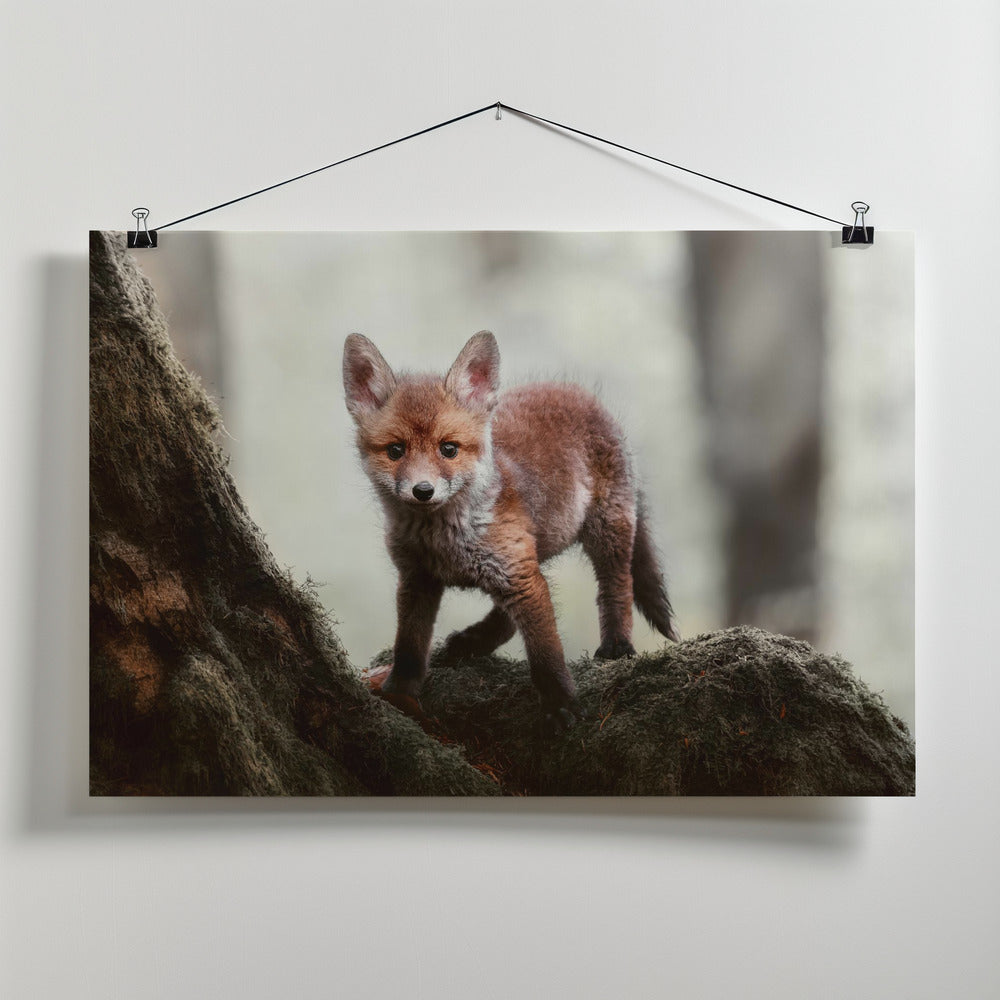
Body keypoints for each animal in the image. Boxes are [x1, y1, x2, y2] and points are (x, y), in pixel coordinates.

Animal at [342, 330, 679, 731]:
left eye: (448, 448)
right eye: (395, 450)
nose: (423, 491)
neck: (445, 542)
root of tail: (577, 392)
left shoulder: (519, 578)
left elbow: (546, 650)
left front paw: (560, 703)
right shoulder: (418, 579)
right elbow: (409, 646)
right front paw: (398, 693)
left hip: (605, 530)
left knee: (617, 585)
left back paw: (616, 645)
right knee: (506, 617)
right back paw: (471, 642)